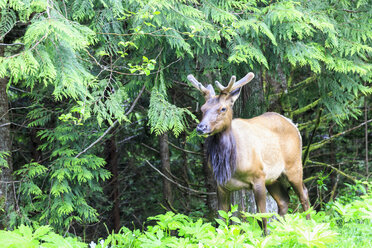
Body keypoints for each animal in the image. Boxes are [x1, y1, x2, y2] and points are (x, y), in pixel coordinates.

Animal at [187, 72, 310, 234]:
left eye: (223, 108)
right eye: (203, 108)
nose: (201, 127)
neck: (231, 164)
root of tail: (293, 124)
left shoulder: (258, 176)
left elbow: (262, 216)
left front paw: (265, 236)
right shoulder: (221, 184)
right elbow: (221, 220)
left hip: (294, 165)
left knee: (304, 194)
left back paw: (309, 226)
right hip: (273, 178)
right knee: (284, 200)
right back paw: (281, 231)